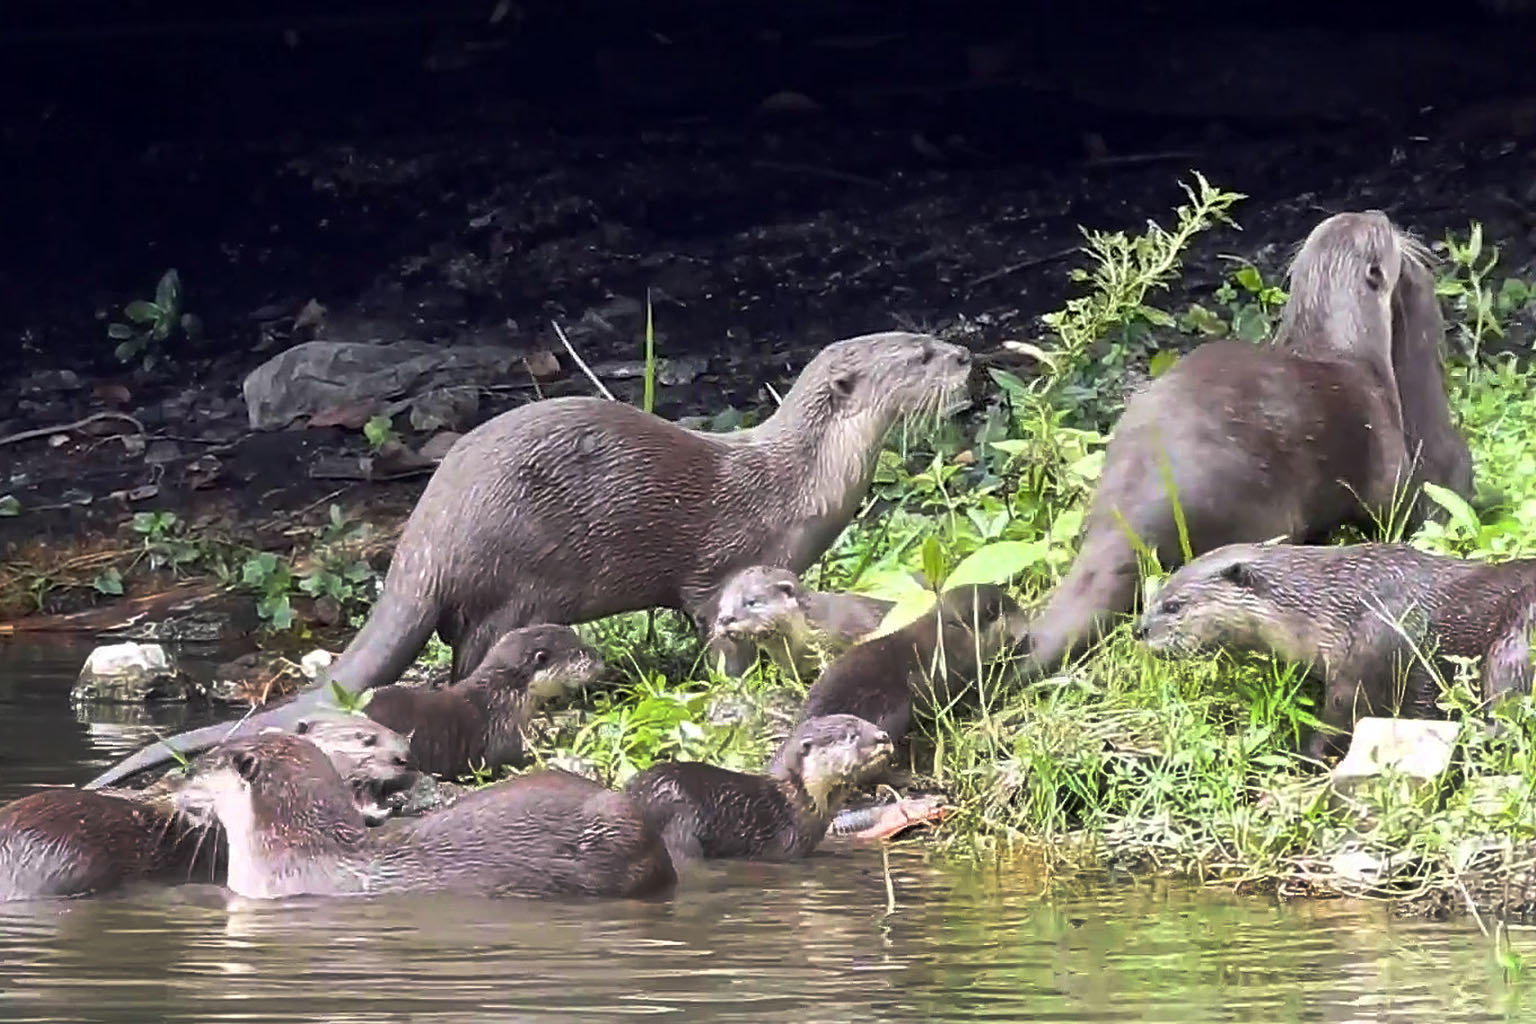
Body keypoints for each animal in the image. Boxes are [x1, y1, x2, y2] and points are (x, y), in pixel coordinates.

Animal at [360, 625, 606, 780]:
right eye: (580, 653)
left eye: (583, 641)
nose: (600, 659)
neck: (502, 698)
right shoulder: (503, 736)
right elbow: (510, 763)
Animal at [1018, 211, 1475, 679]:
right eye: (1379, 232)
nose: (1381, 215)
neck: (1349, 349)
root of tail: (1129, 515)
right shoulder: (1385, 455)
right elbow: (1392, 514)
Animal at [1134, 541, 1536, 760]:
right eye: (1155, 594)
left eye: (1173, 605)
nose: (1138, 630)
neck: (1336, 604)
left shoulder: (1371, 650)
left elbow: (1345, 717)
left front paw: (1297, 753)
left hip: (1513, 643)